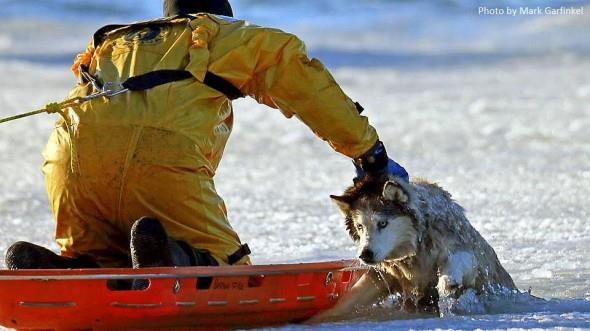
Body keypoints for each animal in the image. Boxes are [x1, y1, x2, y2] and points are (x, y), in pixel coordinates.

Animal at [326, 175, 516, 318]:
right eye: (360, 226)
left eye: (383, 223)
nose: (365, 255)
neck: (415, 253)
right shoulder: (385, 275)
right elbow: (349, 301)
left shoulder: (466, 252)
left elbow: (458, 261)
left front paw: (447, 283)